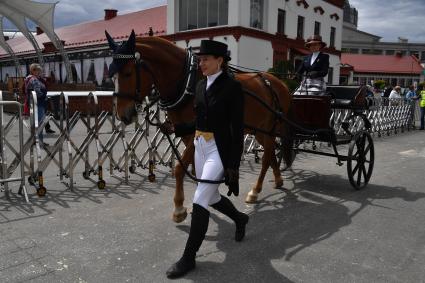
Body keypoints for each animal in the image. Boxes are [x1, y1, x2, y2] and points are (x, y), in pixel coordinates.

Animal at [106, 30, 292, 222]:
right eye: (112, 76)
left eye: (128, 73)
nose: (123, 115)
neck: (187, 84)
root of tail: (279, 83)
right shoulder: (188, 134)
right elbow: (196, 169)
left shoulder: (198, 132)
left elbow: (179, 169)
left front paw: (179, 208)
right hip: (260, 130)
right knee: (271, 154)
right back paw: (278, 180)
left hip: (269, 128)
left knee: (266, 157)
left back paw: (255, 190)